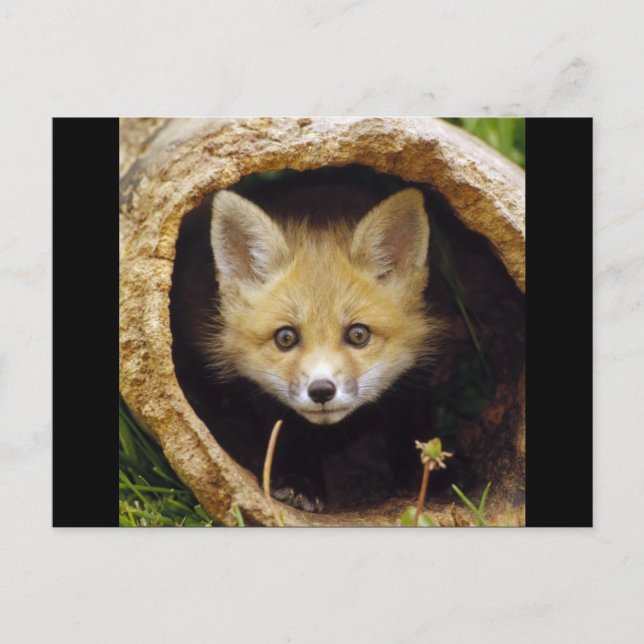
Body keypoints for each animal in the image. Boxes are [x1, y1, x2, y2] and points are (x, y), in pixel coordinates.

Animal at [202, 184, 444, 511]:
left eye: (358, 335)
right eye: (286, 338)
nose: (321, 391)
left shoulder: (411, 383)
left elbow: (412, 423)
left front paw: (424, 472)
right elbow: (285, 429)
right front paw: (300, 480)